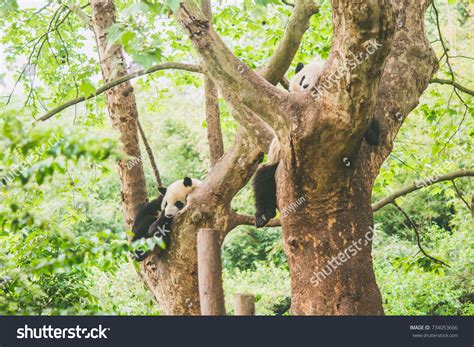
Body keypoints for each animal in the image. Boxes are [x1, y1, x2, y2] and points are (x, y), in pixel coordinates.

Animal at [252, 60, 382, 228]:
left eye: (318, 78)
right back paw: (263, 215)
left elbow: (373, 131)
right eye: (302, 78)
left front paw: (370, 134)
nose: (306, 86)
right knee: (263, 179)